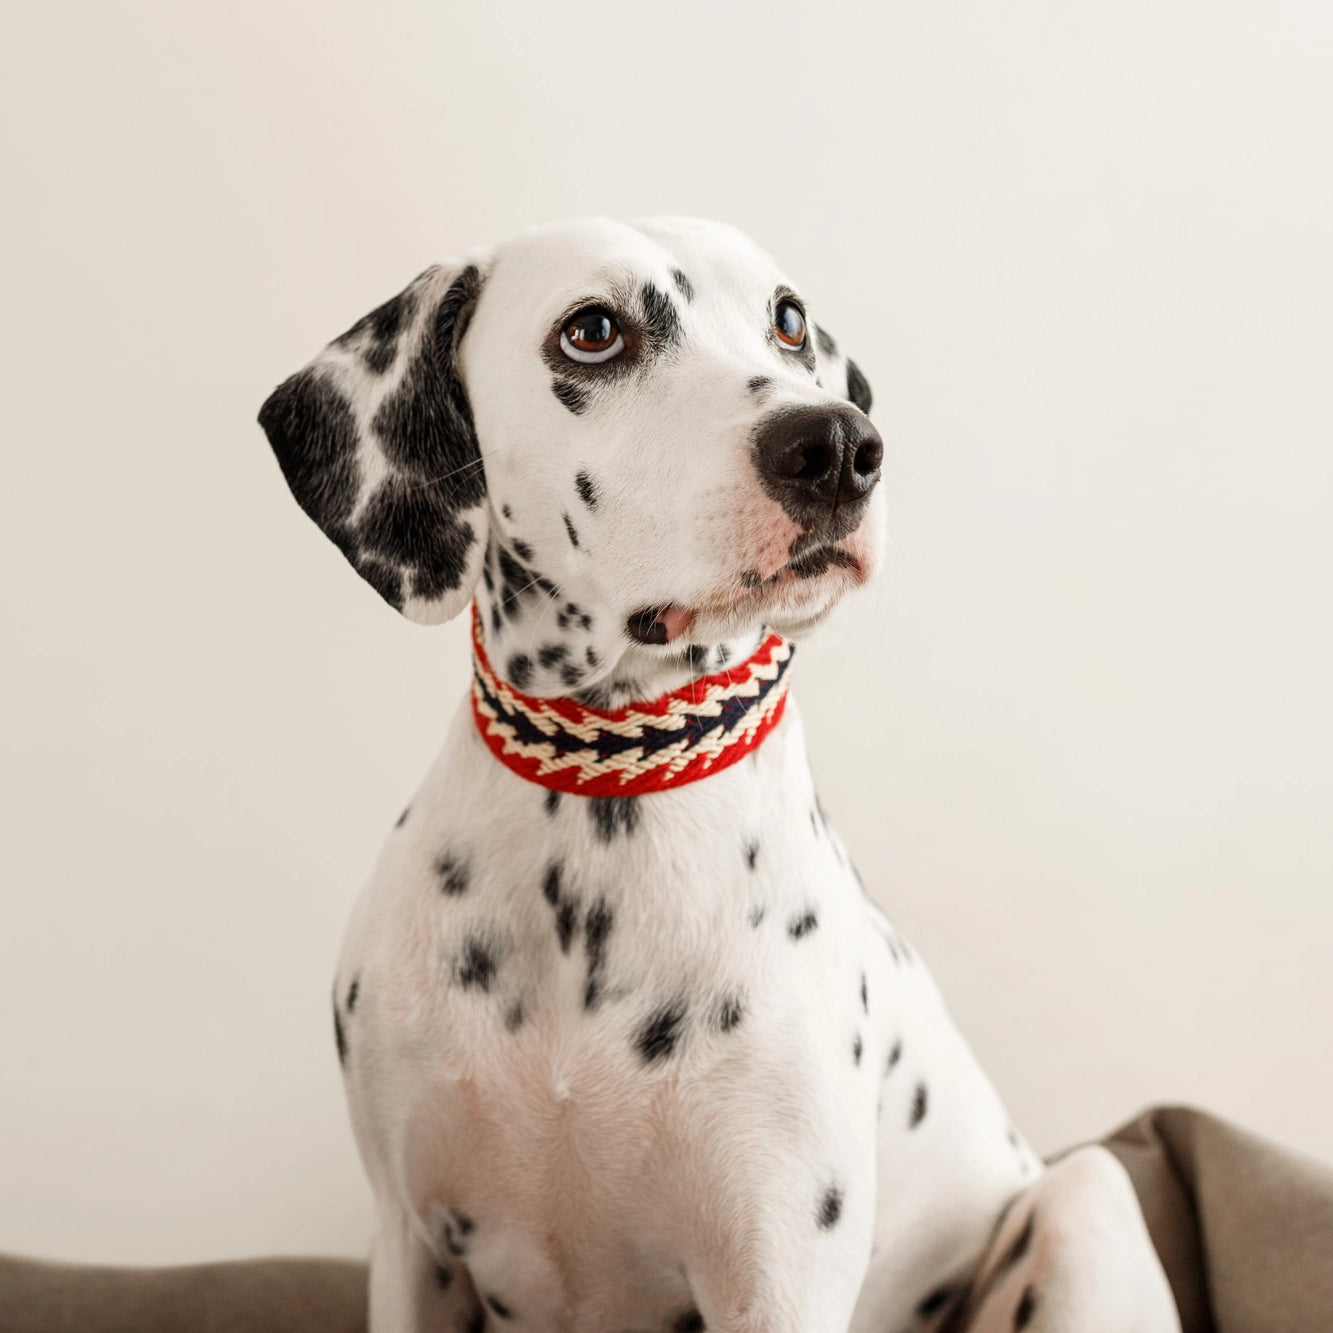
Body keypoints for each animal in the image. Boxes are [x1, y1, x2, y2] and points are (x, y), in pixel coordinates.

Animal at [257, 218, 1178, 1333]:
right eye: (592, 330)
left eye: (786, 318)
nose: (836, 447)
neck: (605, 796)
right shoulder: (409, 1248)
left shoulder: (775, 1269)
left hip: (1088, 1190)